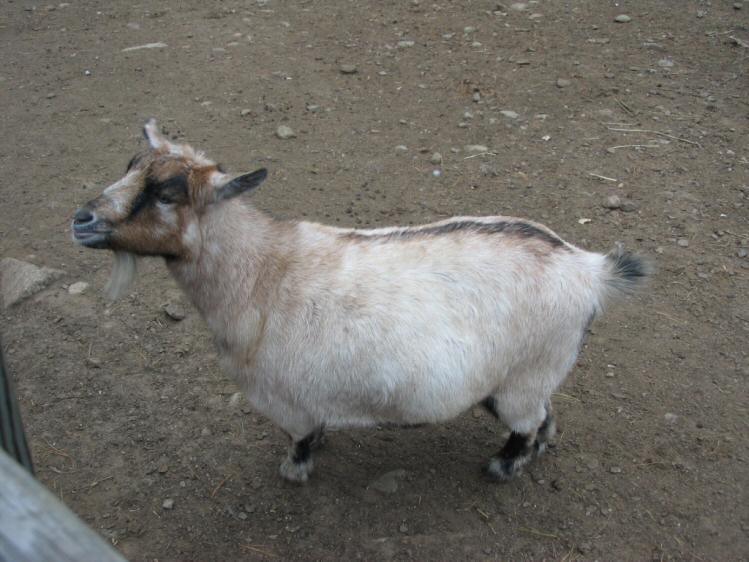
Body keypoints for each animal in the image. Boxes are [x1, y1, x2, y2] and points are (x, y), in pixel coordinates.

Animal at [72, 119, 650, 482]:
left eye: (167, 194)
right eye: (129, 165)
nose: (82, 219)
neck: (260, 274)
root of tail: (588, 268)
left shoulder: (285, 398)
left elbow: (301, 439)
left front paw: (295, 470)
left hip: (525, 374)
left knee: (525, 426)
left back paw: (502, 468)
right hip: (525, 378)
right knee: (543, 418)